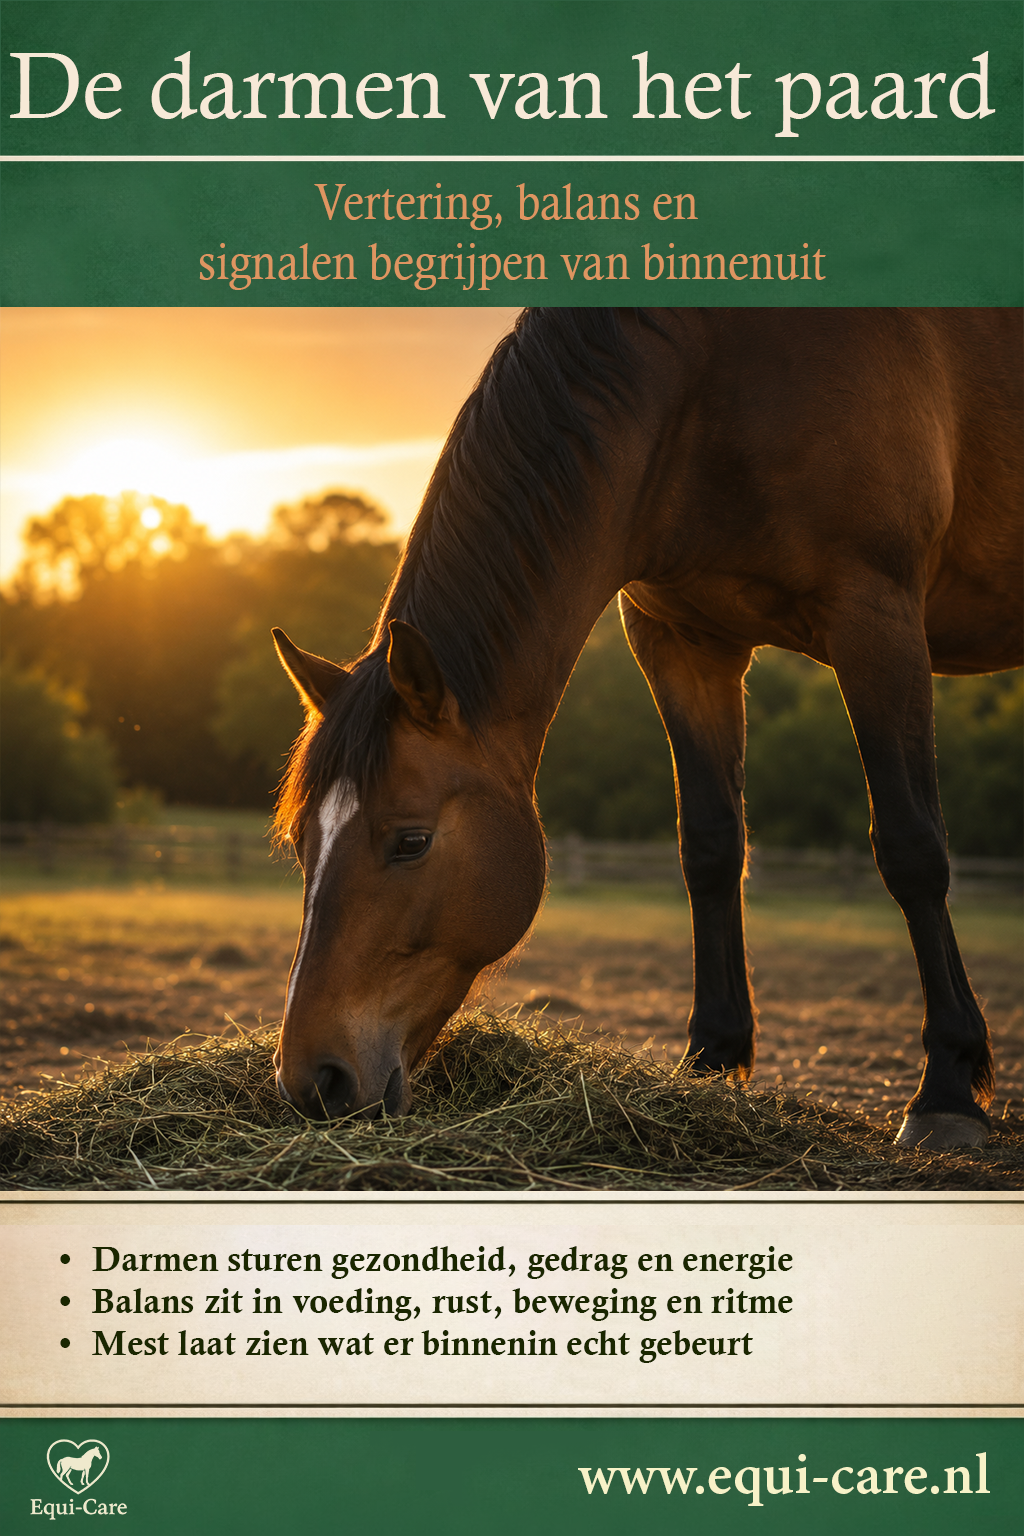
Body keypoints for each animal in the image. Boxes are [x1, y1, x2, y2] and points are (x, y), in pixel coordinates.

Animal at [271, 307, 1022, 1150]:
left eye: (410, 841)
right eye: (300, 842)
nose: (313, 1081)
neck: (710, 384)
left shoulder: (877, 617)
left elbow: (910, 846)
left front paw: (947, 1089)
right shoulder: (682, 642)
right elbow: (710, 847)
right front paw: (711, 1059)